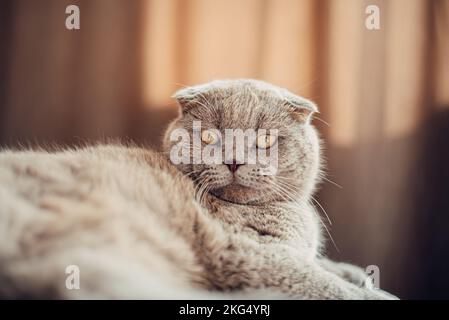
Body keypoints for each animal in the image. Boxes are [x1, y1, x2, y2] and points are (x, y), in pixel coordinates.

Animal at [0, 79, 396, 298]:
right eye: (209, 137)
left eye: (265, 139)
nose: (234, 160)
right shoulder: (254, 255)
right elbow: (330, 287)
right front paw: (371, 293)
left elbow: (328, 267)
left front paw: (358, 274)